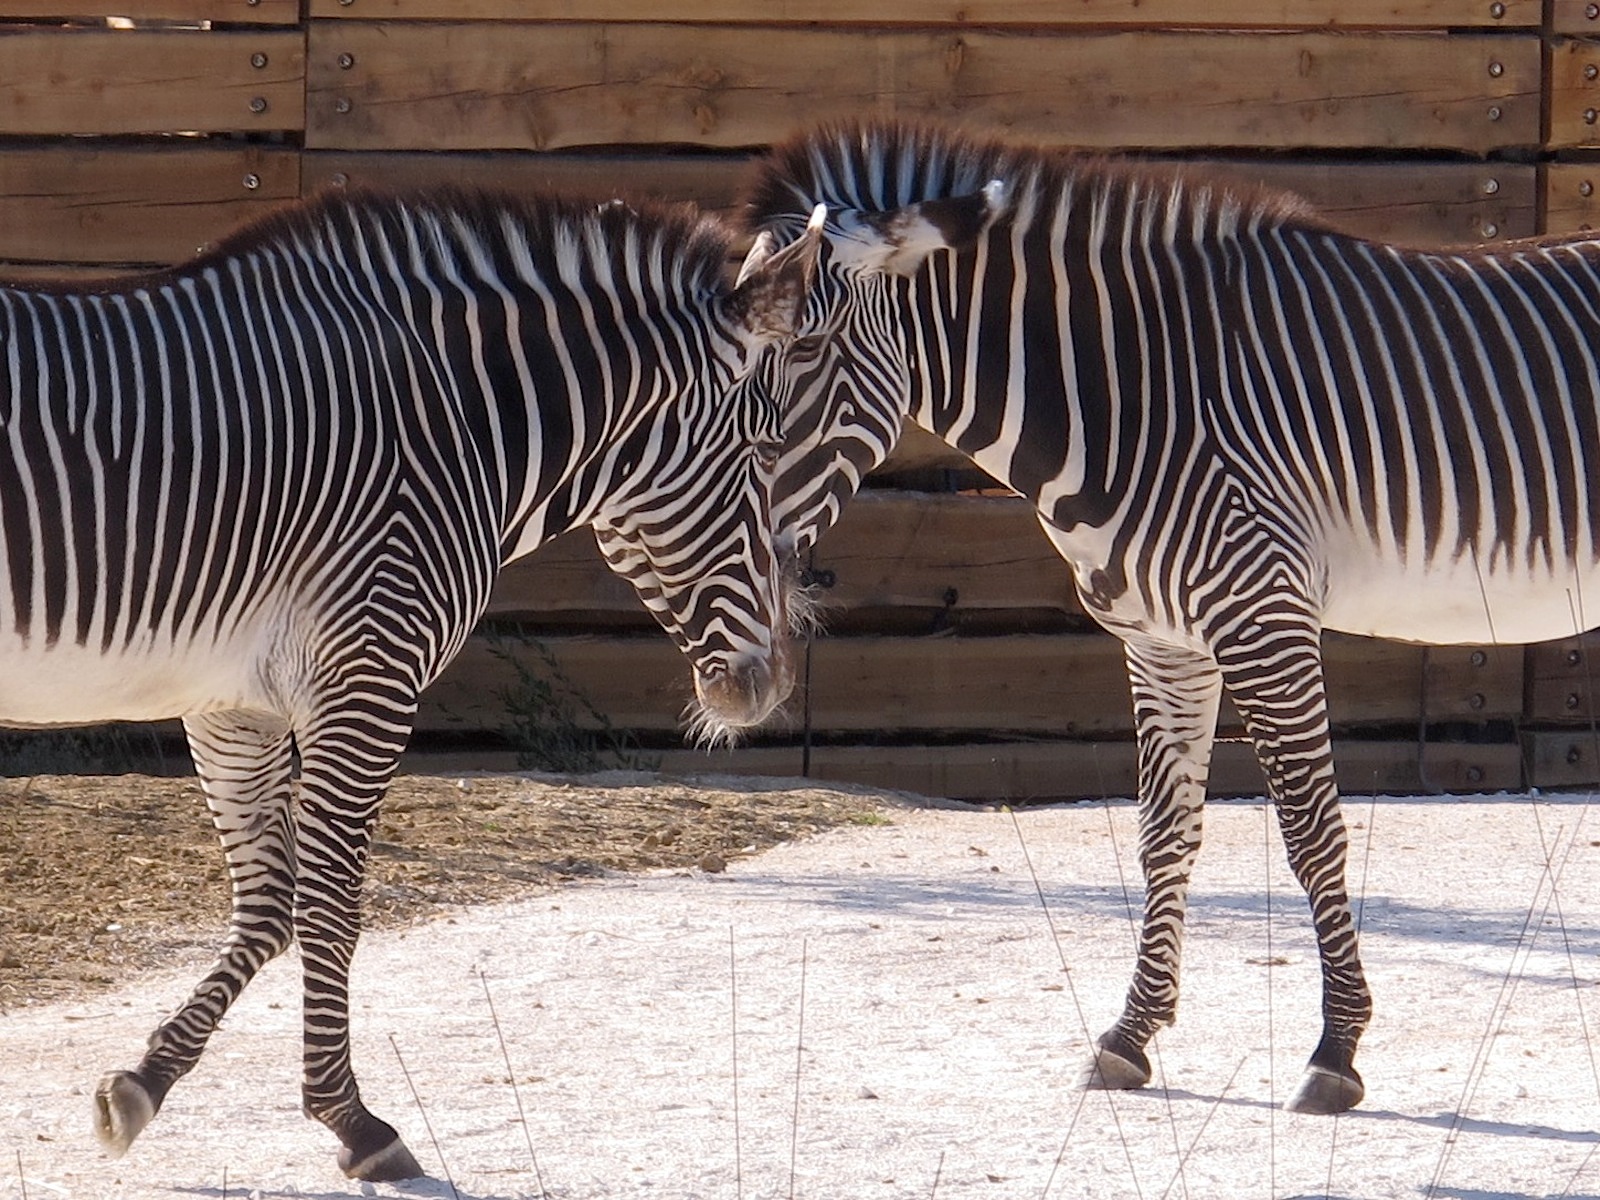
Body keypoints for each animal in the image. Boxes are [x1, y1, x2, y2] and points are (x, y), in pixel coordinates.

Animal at [0, 188, 819, 1184]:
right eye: (769, 450)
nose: (773, 687)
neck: (453, 426)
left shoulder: (234, 703)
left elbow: (269, 904)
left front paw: (142, 1083)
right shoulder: (370, 674)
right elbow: (330, 905)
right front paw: (355, 1123)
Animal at [732, 122, 1600, 1120]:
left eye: (802, 347)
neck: (1131, 398)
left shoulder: (1263, 616)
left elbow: (1310, 835)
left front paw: (1336, 1050)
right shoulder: (1162, 642)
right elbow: (1162, 837)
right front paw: (1130, 1036)